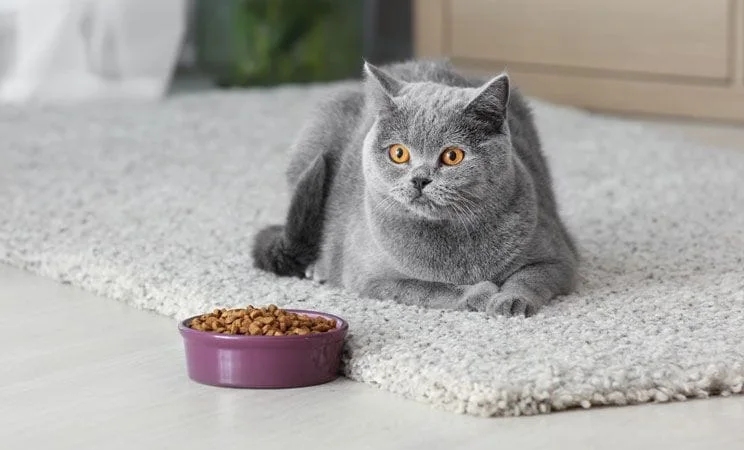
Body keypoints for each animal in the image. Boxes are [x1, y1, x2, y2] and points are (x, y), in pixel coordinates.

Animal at [253, 59, 580, 316]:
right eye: (399, 153)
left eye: (452, 156)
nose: (420, 178)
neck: (452, 238)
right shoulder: (373, 279)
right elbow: (430, 288)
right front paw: (480, 293)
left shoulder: (559, 256)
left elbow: (530, 277)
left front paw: (509, 300)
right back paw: (318, 267)